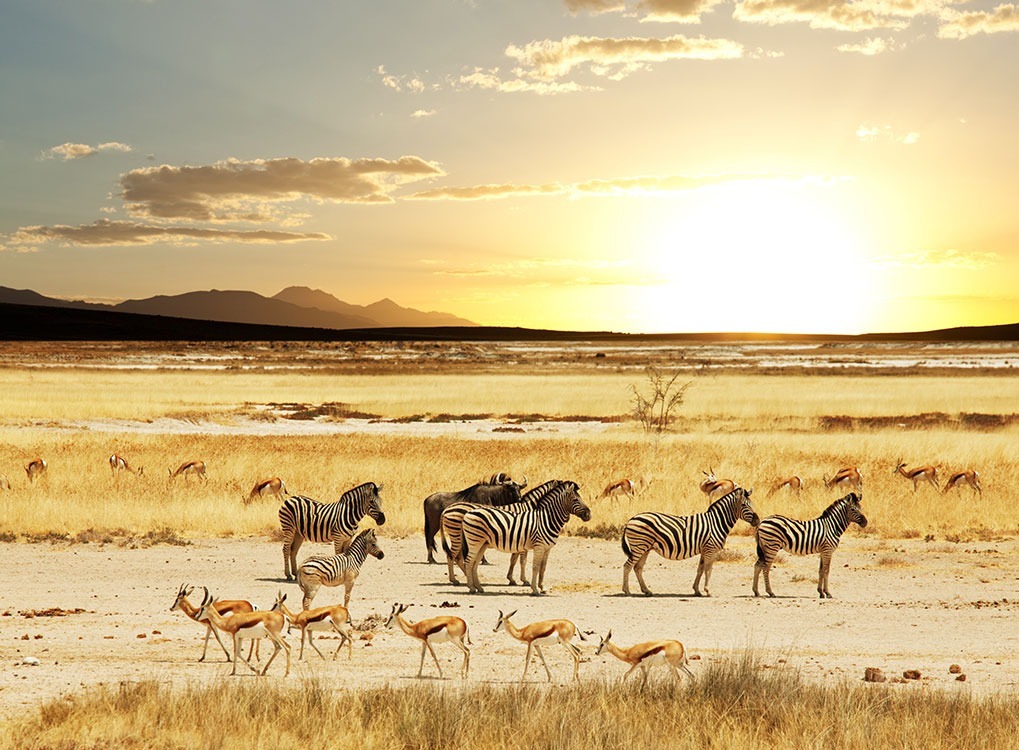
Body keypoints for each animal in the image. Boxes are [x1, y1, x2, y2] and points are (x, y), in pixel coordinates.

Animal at [461, 481, 591, 595]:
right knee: (469, 561)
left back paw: (479, 587)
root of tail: (469, 512)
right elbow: (534, 566)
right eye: (575, 499)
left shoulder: (547, 549)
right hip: (474, 541)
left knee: (475, 563)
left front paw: (542, 587)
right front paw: (534, 589)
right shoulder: (539, 546)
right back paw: (471, 588)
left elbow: (543, 568)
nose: (589, 515)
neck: (546, 519)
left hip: (482, 543)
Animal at [621, 486, 760, 597]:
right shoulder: (711, 549)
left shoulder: (704, 549)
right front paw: (708, 591)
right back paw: (627, 591)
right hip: (639, 546)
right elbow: (708, 570)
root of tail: (631, 519)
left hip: (645, 548)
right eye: (744, 505)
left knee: (637, 568)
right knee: (628, 566)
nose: (757, 521)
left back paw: (646, 591)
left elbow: (700, 569)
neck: (716, 522)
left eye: (752, 504)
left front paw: (697, 590)